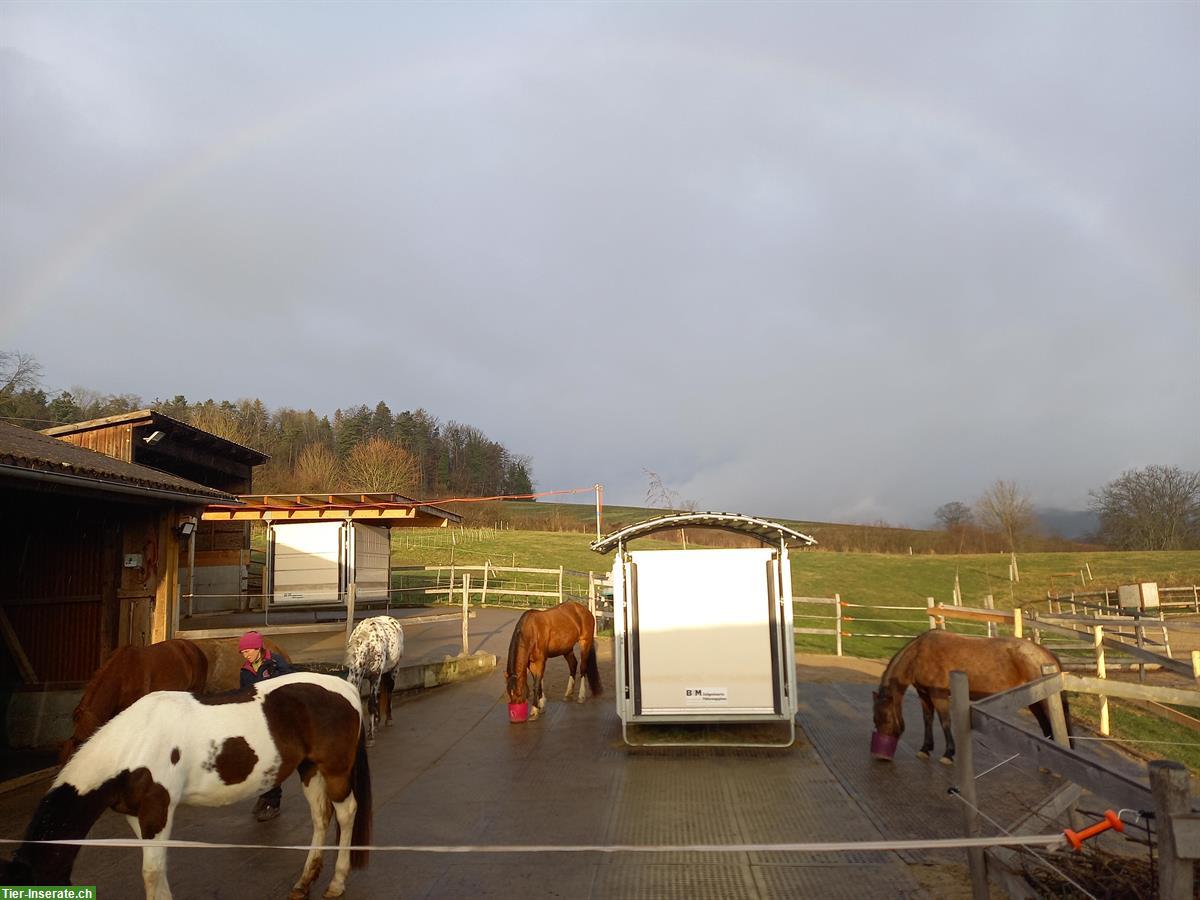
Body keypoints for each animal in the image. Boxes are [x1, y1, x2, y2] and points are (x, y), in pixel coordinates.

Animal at [2, 672, 369, 897]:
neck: (131, 743)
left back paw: (336, 883)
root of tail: (346, 689)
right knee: (321, 818)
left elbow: (151, 873)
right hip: (309, 770)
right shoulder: (138, 815)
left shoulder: (157, 811)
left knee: (347, 812)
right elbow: (157, 870)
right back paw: (304, 882)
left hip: (335, 770)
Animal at [345, 619, 405, 748]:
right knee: (379, 695)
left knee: (389, 692)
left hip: (394, 670)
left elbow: (371, 704)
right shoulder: (359, 677)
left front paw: (370, 737)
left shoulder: (375, 677)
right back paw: (377, 723)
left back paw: (388, 720)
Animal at [868, 628, 1075, 768]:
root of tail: (1045, 653)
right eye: (875, 719)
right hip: (1034, 700)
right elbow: (927, 720)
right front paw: (925, 749)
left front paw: (948, 754)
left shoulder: (938, 695)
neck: (919, 654)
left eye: (884, 717)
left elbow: (945, 721)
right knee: (1045, 725)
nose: (881, 756)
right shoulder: (924, 695)